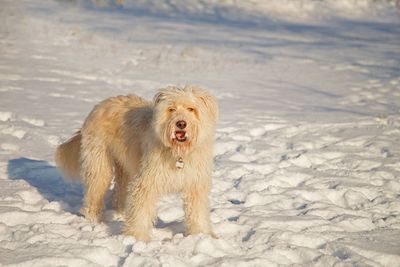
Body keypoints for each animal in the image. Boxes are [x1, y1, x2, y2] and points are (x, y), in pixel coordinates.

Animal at [54, 86, 217, 243]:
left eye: (191, 109)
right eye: (171, 109)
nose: (181, 124)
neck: (178, 153)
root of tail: (99, 105)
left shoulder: (195, 185)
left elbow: (198, 212)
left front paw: (201, 234)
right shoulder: (147, 182)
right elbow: (141, 211)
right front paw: (136, 237)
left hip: (124, 167)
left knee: (119, 191)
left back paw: (118, 213)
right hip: (99, 163)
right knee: (95, 189)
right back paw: (93, 218)